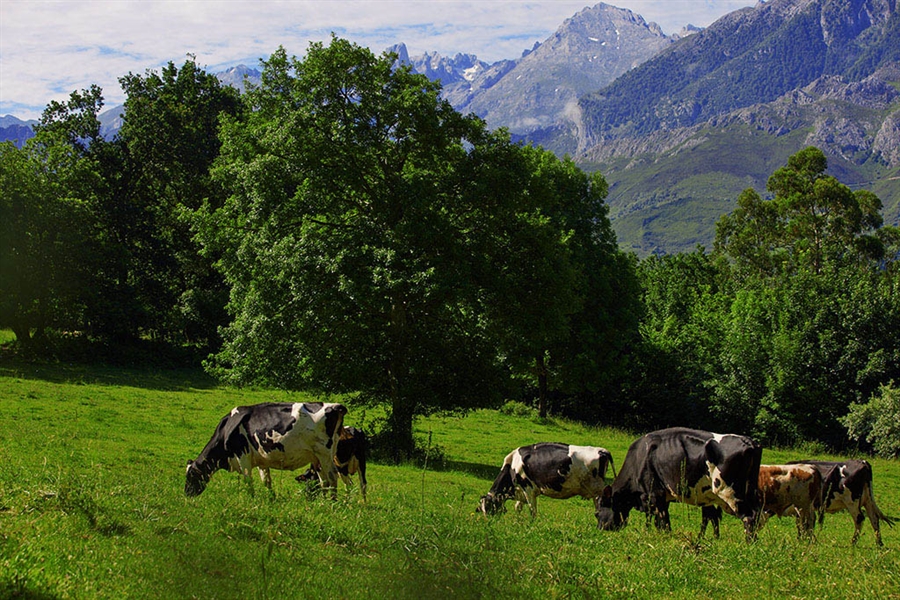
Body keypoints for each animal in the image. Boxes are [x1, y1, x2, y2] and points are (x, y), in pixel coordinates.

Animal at [185, 404, 346, 496]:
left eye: (190, 475)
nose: (186, 494)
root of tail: (336, 406)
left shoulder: (242, 455)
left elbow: (248, 481)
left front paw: (251, 499)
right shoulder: (262, 460)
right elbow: (266, 481)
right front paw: (271, 499)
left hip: (324, 453)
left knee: (332, 477)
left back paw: (332, 504)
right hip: (317, 457)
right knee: (324, 481)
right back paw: (323, 503)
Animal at [474, 442, 616, 516]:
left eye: (489, 508)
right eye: (482, 509)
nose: (489, 523)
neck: (512, 466)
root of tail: (601, 451)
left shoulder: (528, 489)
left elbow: (532, 510)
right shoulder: (521, 491)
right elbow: (517, 507)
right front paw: (518, 522)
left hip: (597, 489)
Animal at [596, 426, 764, 540]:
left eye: (596, 513)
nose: (599, 530)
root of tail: (749, 441)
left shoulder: (654, 493)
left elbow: (662, 520)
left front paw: (664, 537)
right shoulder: (661, 497)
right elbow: (659, 519)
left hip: (728, 491)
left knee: (749, 516)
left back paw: (748, 543)